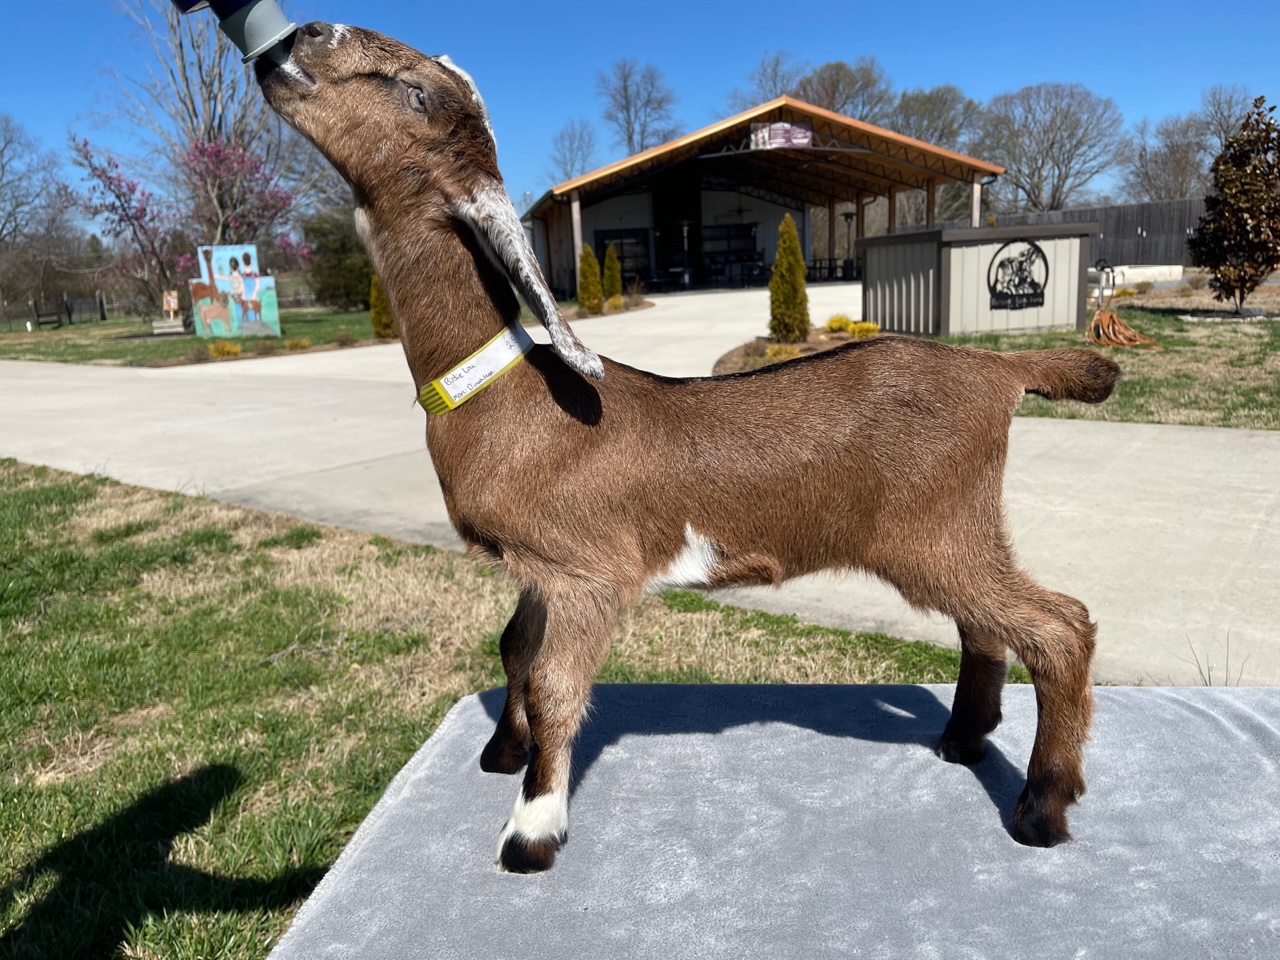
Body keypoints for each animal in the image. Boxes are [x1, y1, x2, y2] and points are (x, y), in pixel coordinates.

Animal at [257, 23, 1120, 874]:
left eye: (411, 91)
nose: (287, 43)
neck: (509, 395)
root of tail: (999, 369)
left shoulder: (590, 571)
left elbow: (554, 685)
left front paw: (531, 831)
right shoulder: (538, 569)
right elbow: (513, 651)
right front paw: (503, 753)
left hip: (934, 530)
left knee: (1060, 625)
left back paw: (1042, 807)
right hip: (954, 532)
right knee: (985, 626)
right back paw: (963, 740)